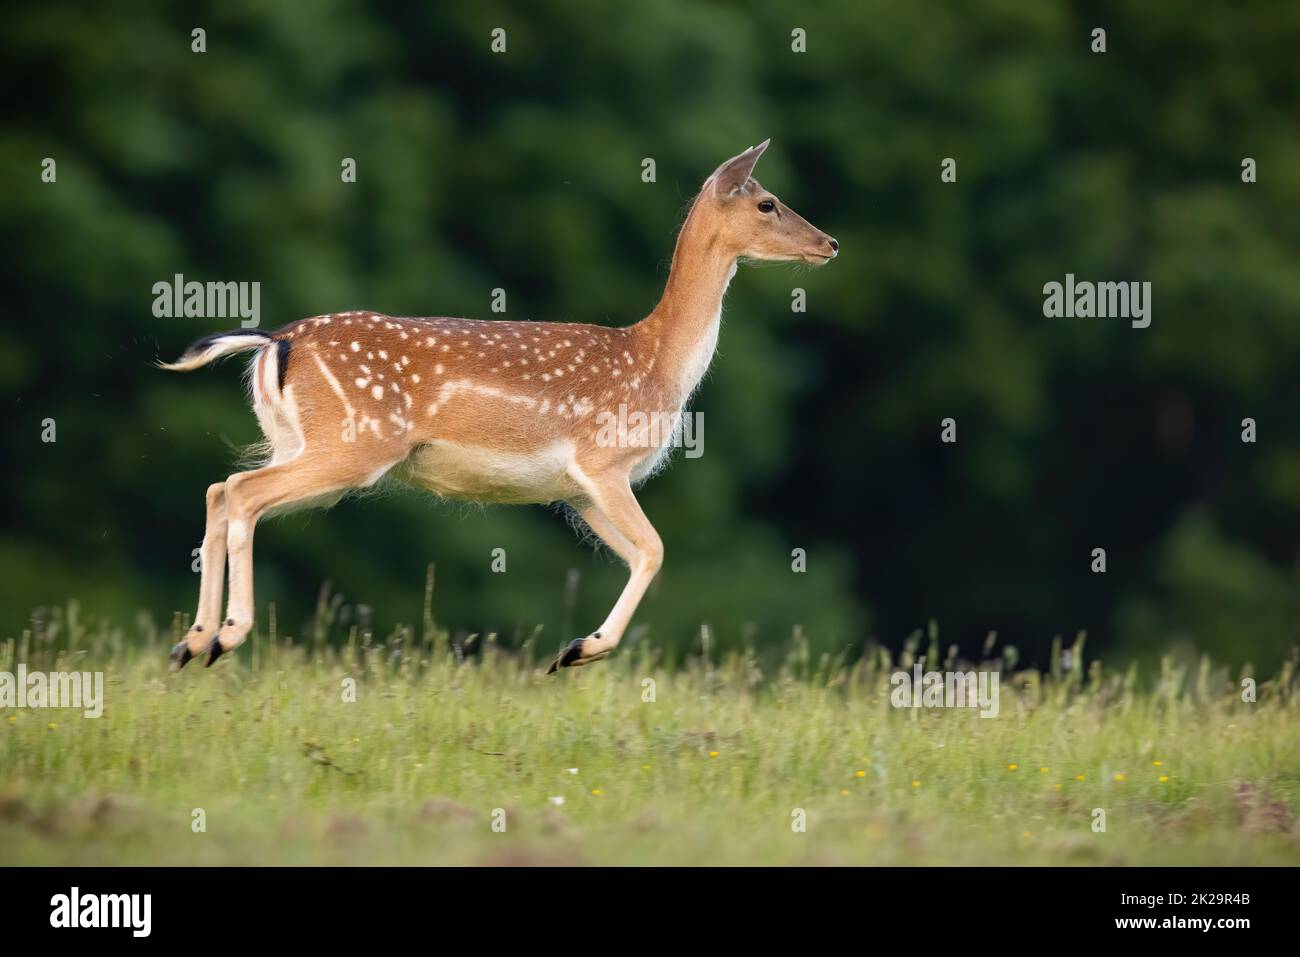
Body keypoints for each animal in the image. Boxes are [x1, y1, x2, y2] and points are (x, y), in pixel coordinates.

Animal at [162, 138, 837, 670]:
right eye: (767, 202)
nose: (829, 243)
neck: (659, 364)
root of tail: (276, 340)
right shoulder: (603, 461)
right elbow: (656, 550)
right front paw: (579, 650)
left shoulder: (576, 492)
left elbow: (636, 556)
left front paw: (575, 647)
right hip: (354, 441)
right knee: (240, 491)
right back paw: (226, 635)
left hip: (297, 439)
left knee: (220, 489)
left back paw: (191, 641)